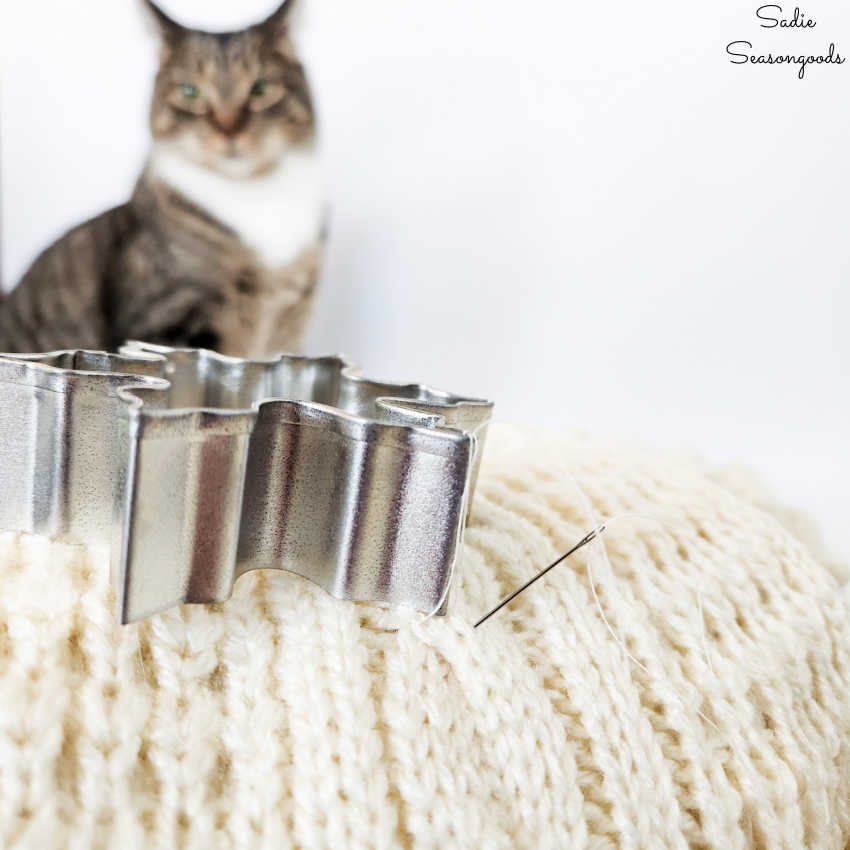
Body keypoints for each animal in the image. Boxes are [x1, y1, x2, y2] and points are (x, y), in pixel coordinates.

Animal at [0, 0, 322, 356]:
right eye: (189, 92)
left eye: (261, 88)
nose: (229, 131)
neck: (256, 194)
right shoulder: (165, 320)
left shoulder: (290, 324)